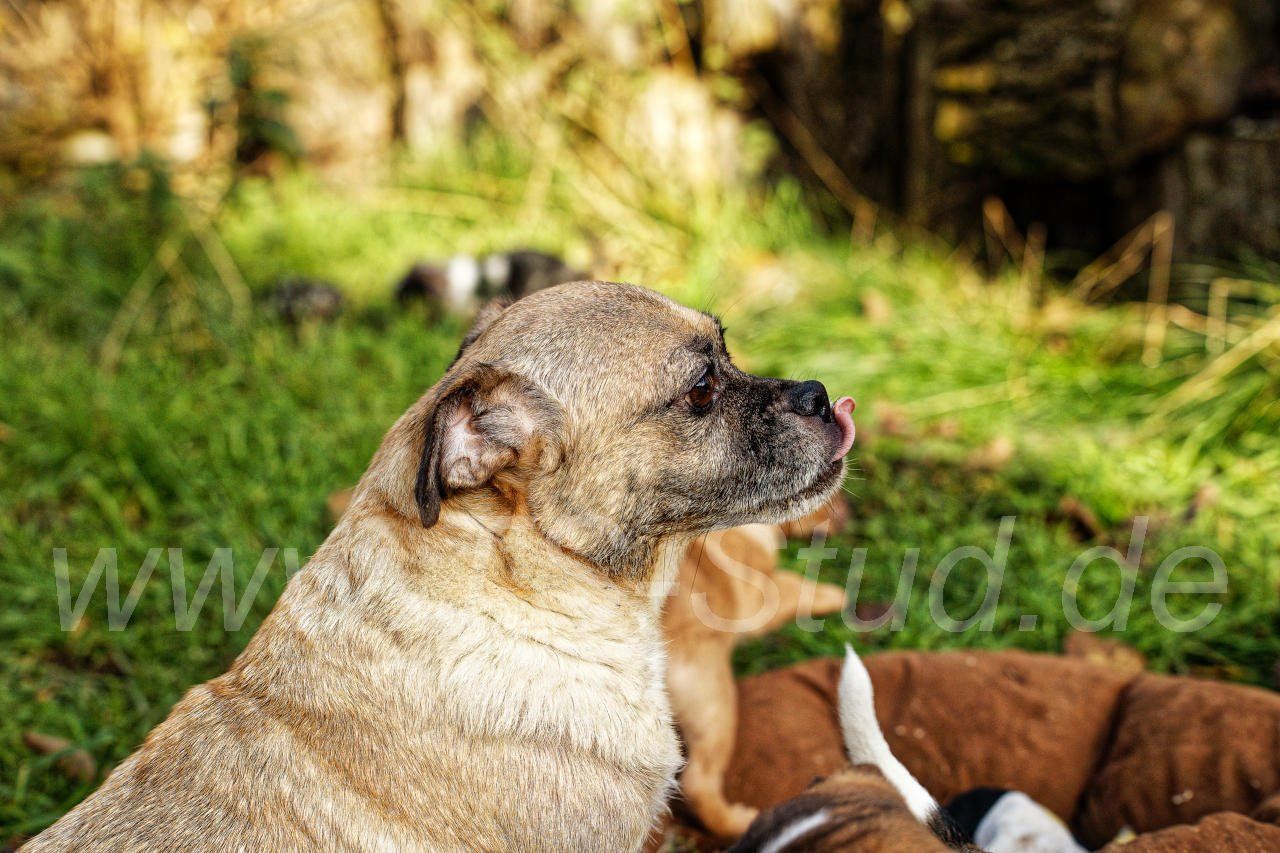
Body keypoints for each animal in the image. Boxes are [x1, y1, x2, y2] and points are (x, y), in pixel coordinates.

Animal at [665, 495, 850, 838]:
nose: (849, 514)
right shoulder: (766, 593)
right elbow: (798, 585)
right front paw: (837, 596)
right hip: (714, 700)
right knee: (698, 782)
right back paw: (739, 821)